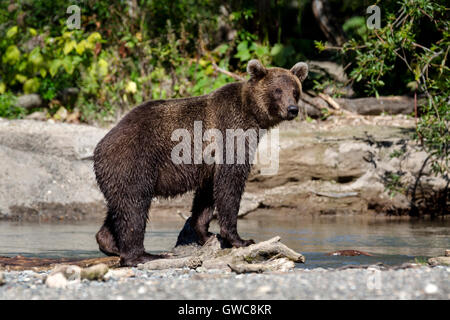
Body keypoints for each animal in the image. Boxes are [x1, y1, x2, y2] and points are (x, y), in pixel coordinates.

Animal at [93, 58, 308, 266]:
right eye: (277, 90)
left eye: (295, 91)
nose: (292, 109)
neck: (252, 114)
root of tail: (99, 149)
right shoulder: (231, 132)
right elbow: (230, 184)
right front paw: (240, 239)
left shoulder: (209, 163)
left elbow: (206, 196)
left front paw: (206, 234)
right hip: (134, 162)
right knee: (135, 208)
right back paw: (143, 255)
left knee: (120, 207)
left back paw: (110, 244)